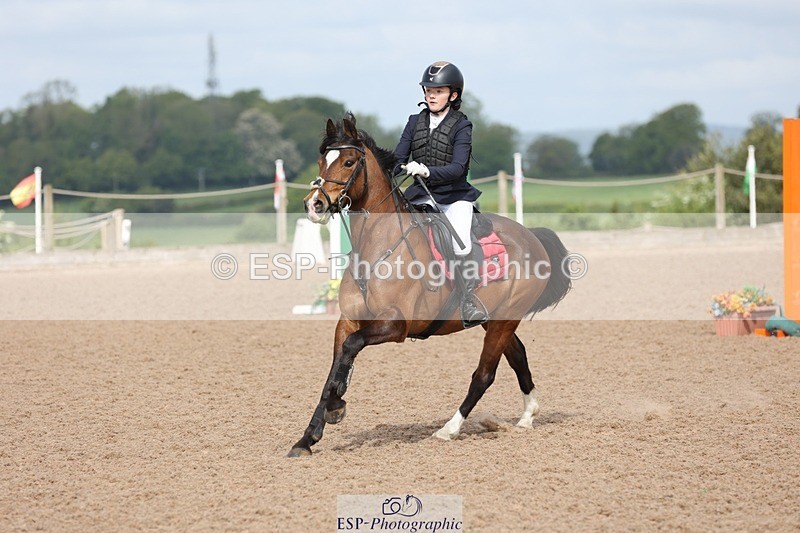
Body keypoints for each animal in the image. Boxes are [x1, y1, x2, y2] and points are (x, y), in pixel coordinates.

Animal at [288, 113, 571, 457]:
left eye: (348, 162)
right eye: (321, 161)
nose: (314, 205)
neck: (376, 248)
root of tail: (531, 237)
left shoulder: (396, 325)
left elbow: (351, 348)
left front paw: (335, 406)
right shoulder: (348, 321)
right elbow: (335, 366)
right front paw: (308, 436)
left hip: (504, 320)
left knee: (484, 374)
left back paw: (449, 429)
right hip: (495, 320)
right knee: (518, 355)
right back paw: (528, 416)